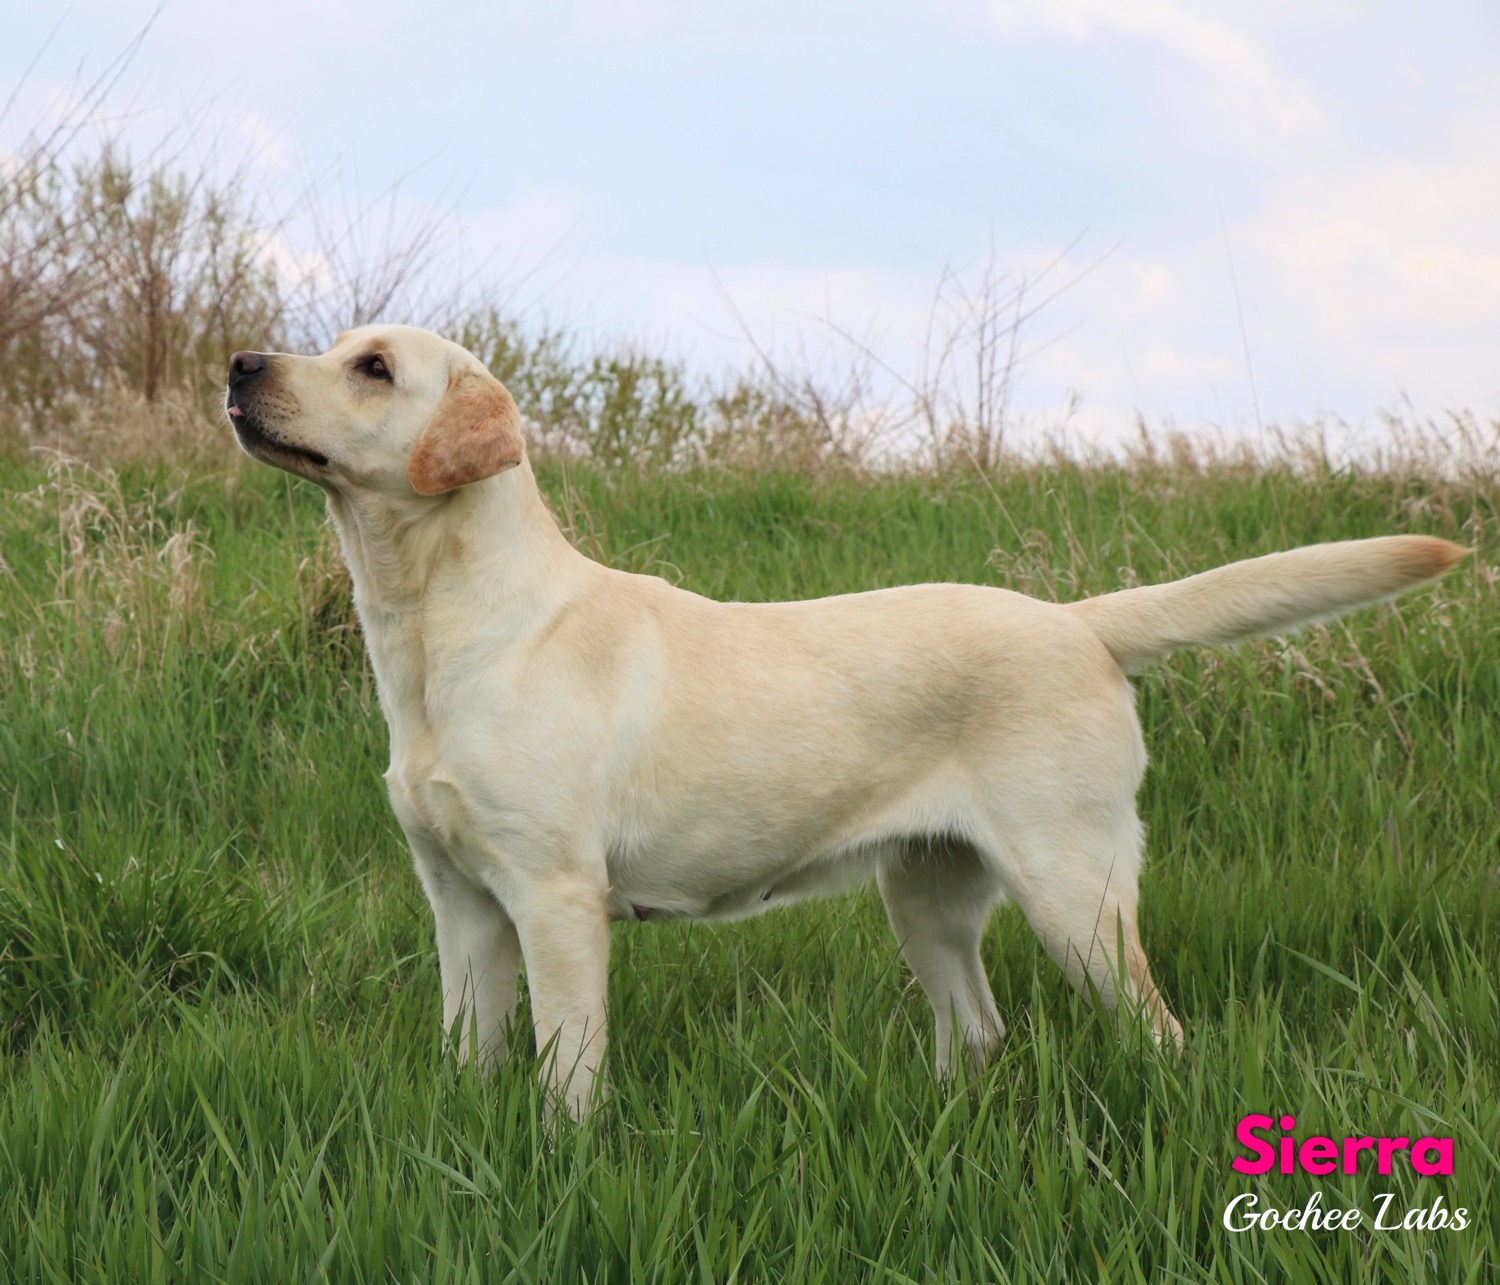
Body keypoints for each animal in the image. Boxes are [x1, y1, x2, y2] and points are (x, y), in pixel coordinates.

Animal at [225, 325, 1464, 1115]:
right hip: (926, 892)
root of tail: (1077, 620)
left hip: (1078, 889)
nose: (237, 362)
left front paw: (561, 1158)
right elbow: (467, 1053)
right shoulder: (461, 901)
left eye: (374, 367)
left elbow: (568, 1079)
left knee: (1158, 1033)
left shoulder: (556, 899)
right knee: (979, 1030)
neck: (440, 630)